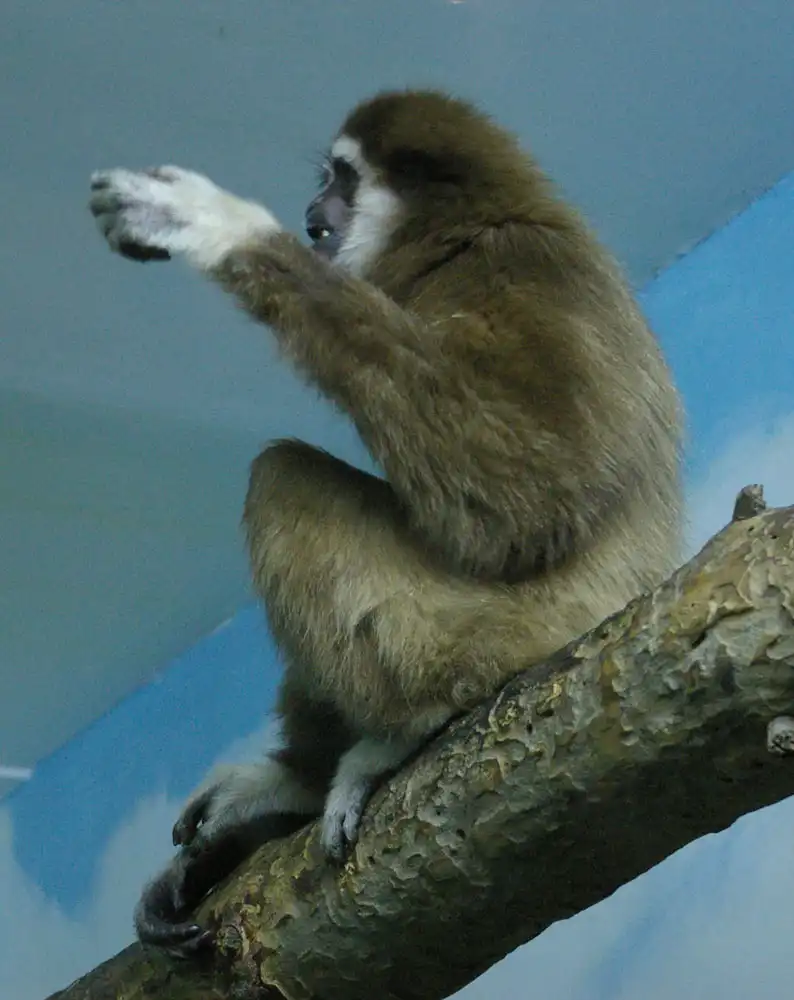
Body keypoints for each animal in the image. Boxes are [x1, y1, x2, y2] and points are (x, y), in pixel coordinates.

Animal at [88, 89, 683, 952]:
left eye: (340, 179)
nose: (311, 214)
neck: (456, 237)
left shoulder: (516, 266)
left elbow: (528, 499)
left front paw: (221, 228)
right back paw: (295, 784)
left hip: (494, 628)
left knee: (281, 478)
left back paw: (408, 728)